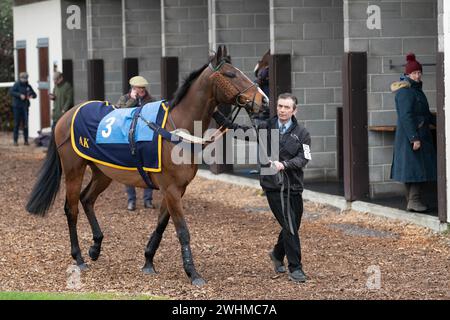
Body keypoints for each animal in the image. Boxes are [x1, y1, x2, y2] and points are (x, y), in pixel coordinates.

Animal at [25, 45, 268, 284]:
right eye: (231, 74)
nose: (264, 100)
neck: (175, 129)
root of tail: (66, 115)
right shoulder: (170, 189)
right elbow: (182, 230)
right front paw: (193, 273)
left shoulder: (177, 189)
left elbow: (161, 225)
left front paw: (149, 260)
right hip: (74, 169)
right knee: (72, 208)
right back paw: (79, 257)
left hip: (103, 172)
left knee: (87, 199)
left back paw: (95, 247)